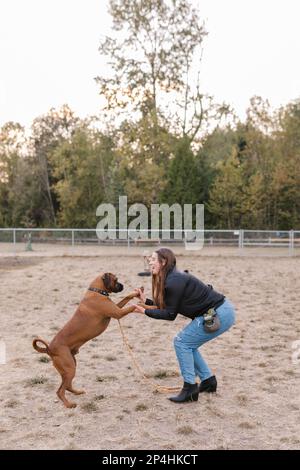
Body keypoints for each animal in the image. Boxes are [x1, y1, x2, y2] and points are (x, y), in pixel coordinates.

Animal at [33, 274, 139, 410]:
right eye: (116, 280)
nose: (122, 286)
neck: (97, 291)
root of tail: (49, 349)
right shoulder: (118, 313)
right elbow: (133, 306)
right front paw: (147, 306)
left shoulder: (117, 308)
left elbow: (127, 298)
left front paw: (136, 293)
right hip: (70, 368)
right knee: (60, 391)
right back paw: (69, 404)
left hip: (70, 367)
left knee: (67, 386)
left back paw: (77, 392)